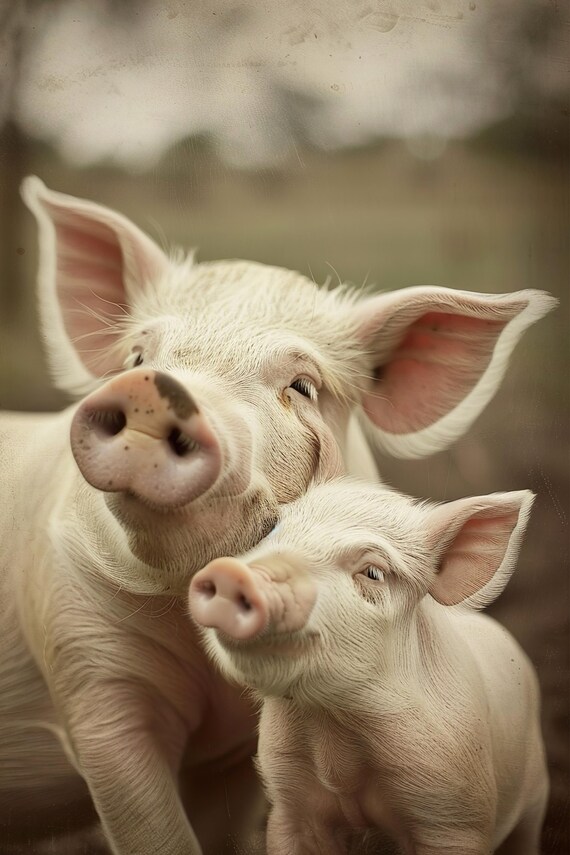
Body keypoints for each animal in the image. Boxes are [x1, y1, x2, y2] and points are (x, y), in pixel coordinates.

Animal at [189, 479, 548, 855]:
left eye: (373, 573)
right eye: (273, 530)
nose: (232, 573)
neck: (335, 726)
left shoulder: (453, 816)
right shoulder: (288, 803)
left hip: (535, 792)